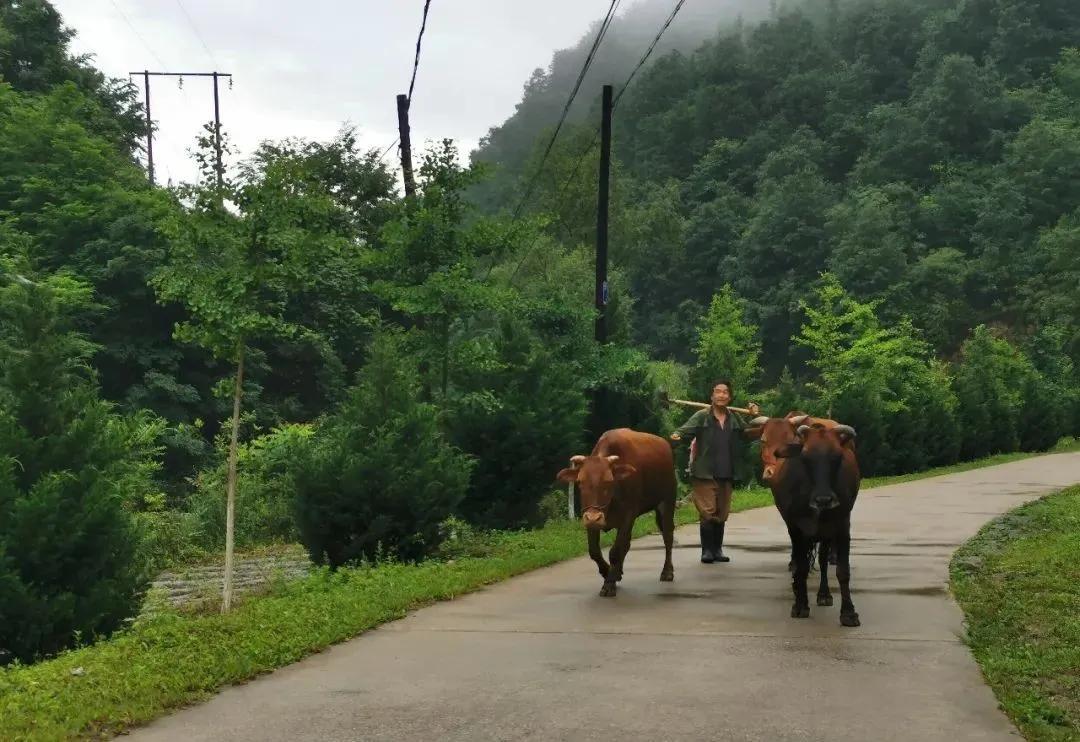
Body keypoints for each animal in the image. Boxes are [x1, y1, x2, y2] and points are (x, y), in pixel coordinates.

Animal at [557, 429, 673, 596]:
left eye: (608, 481)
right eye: (579, 482)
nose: (594, 517)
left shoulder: (628, 516)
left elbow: (615, 551)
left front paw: (609, 583)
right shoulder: (590, 519)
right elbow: (594, 551)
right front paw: (608, 572)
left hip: (667, 502)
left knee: (668, 537)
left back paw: (667, 571)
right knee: (627, 543)